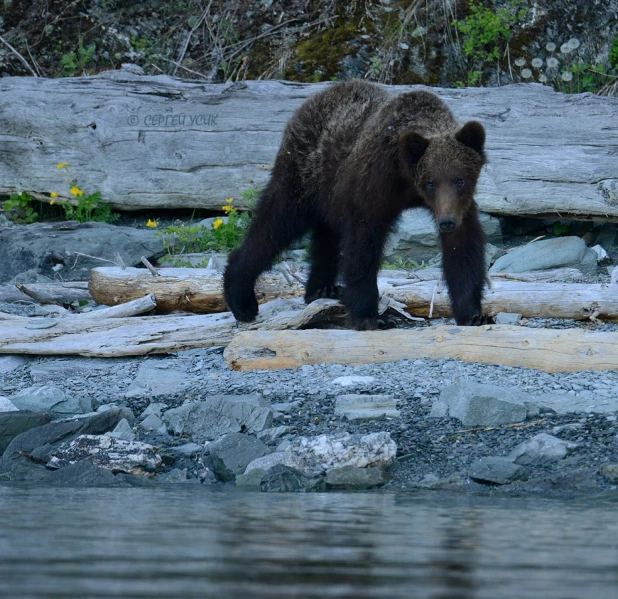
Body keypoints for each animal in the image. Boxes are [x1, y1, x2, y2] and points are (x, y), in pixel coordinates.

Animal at [221, 80, 486, 330]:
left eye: (460, 179)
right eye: (431, 182)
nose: (447, 222)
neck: (406, 179)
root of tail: (312, 101)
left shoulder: (457, 204)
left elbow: (463, 248)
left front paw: (472, 313)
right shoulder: (374, 183)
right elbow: (362, 244)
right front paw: (371, 316)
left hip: (328, 191)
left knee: (326, 235)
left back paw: (321, 289)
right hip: (303, 173)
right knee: (276, 222)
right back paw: (242, 298)